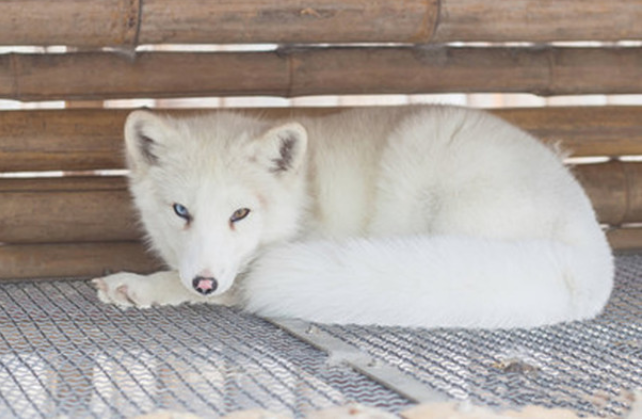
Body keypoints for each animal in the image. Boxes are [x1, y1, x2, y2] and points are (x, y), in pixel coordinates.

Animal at [94, 106, 612, 330]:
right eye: (181, 210)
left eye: (240, 213)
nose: (204, 281)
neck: (305, 195)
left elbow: (232, 287)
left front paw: (140, 285)